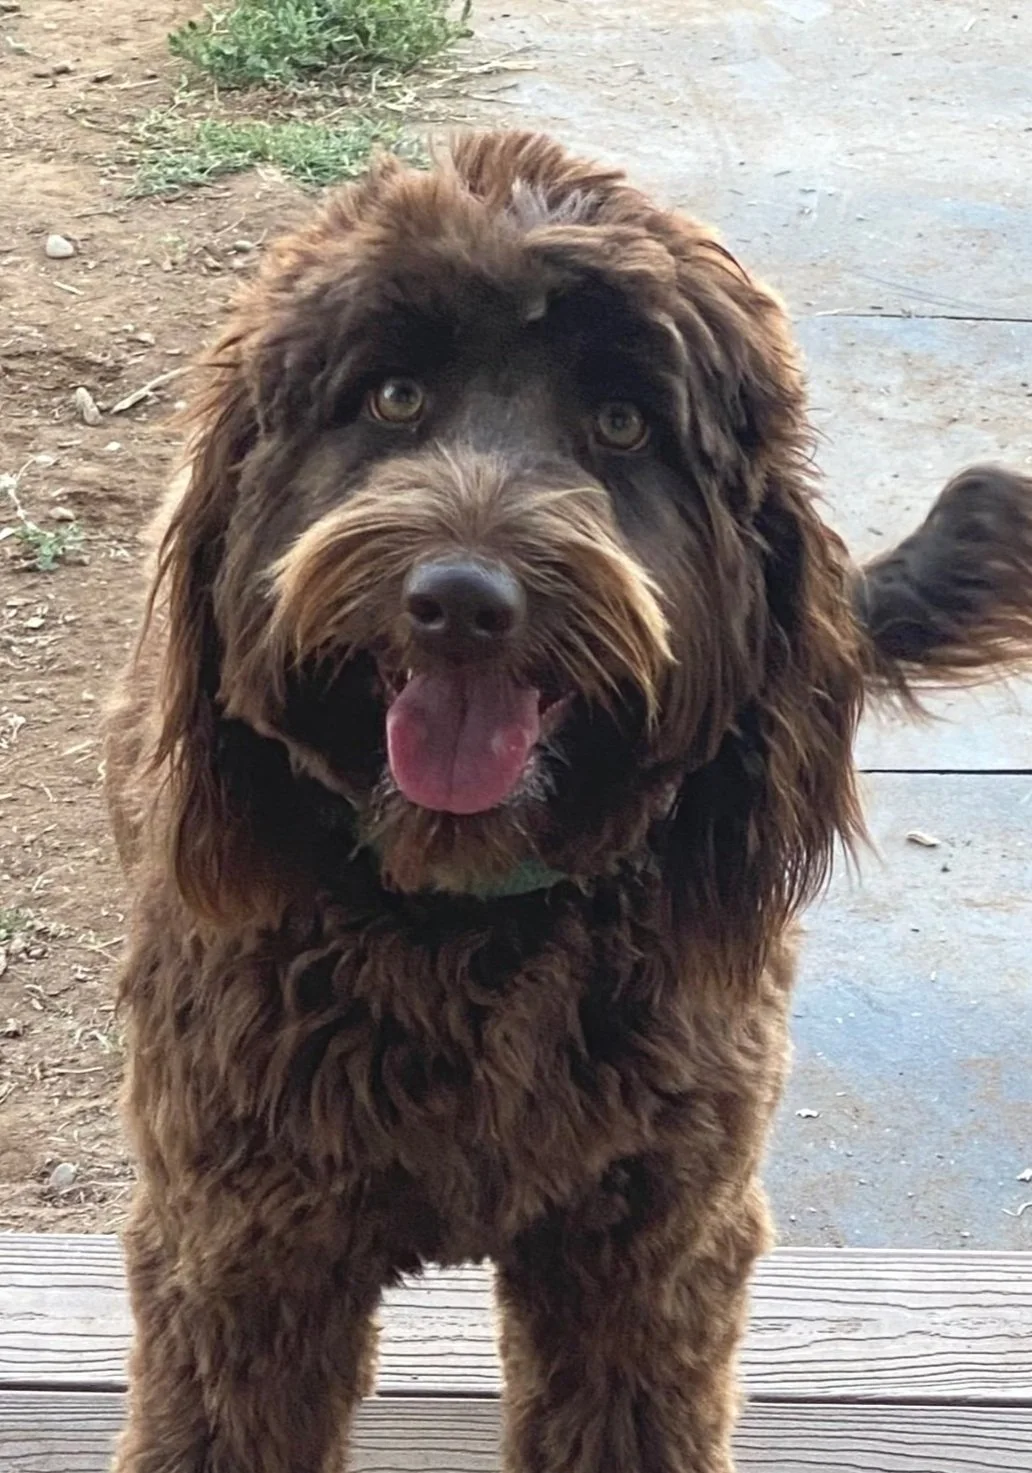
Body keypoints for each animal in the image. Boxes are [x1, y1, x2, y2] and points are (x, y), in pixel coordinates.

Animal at [105, 131, 1032, 1473]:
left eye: (624, 422)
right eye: (393, 397)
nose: (460, 601)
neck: (466, 919)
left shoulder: (648, 1256)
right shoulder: (240, 1249)